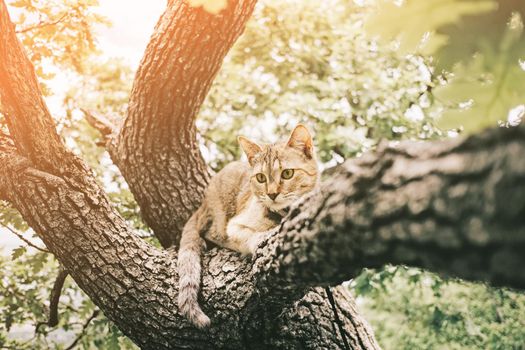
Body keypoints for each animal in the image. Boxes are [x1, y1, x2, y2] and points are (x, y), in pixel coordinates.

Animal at [176, 125, 318, 328]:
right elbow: (251, 236)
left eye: (287, 174)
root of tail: (203, 203)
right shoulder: (234, 226)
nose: (271, 194)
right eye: (260, 178)